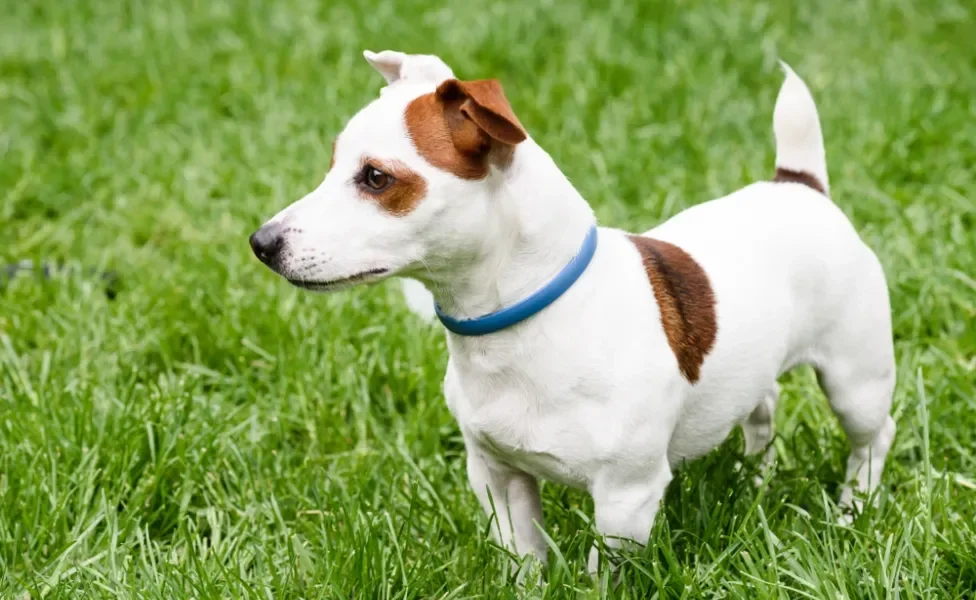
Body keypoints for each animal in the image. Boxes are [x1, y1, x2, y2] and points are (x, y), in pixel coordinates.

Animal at [250, 49, 892, 576]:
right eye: (332, 165)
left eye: (376, 178)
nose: (261, 243)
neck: (528, 321)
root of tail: (799, 186)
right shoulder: (498, 475)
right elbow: (523, 557)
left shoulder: (625, 499)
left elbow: (601, 571)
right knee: (763, 407)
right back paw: (751, 479)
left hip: (855, 381)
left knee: (872, 438)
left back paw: (852, 511)